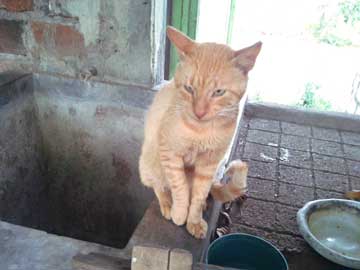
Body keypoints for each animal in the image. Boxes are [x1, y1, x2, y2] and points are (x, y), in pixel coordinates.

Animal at [139, 26, 262, 238]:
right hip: (149, 164)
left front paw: (194, 220)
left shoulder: (209, 164)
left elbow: (198, 194)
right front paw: (180, 213)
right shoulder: (170, 153)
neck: (201, 131)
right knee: (159, 185)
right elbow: (179, 186)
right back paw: (166, 202)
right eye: (189, 88)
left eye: (219, 92)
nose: (199, 112)